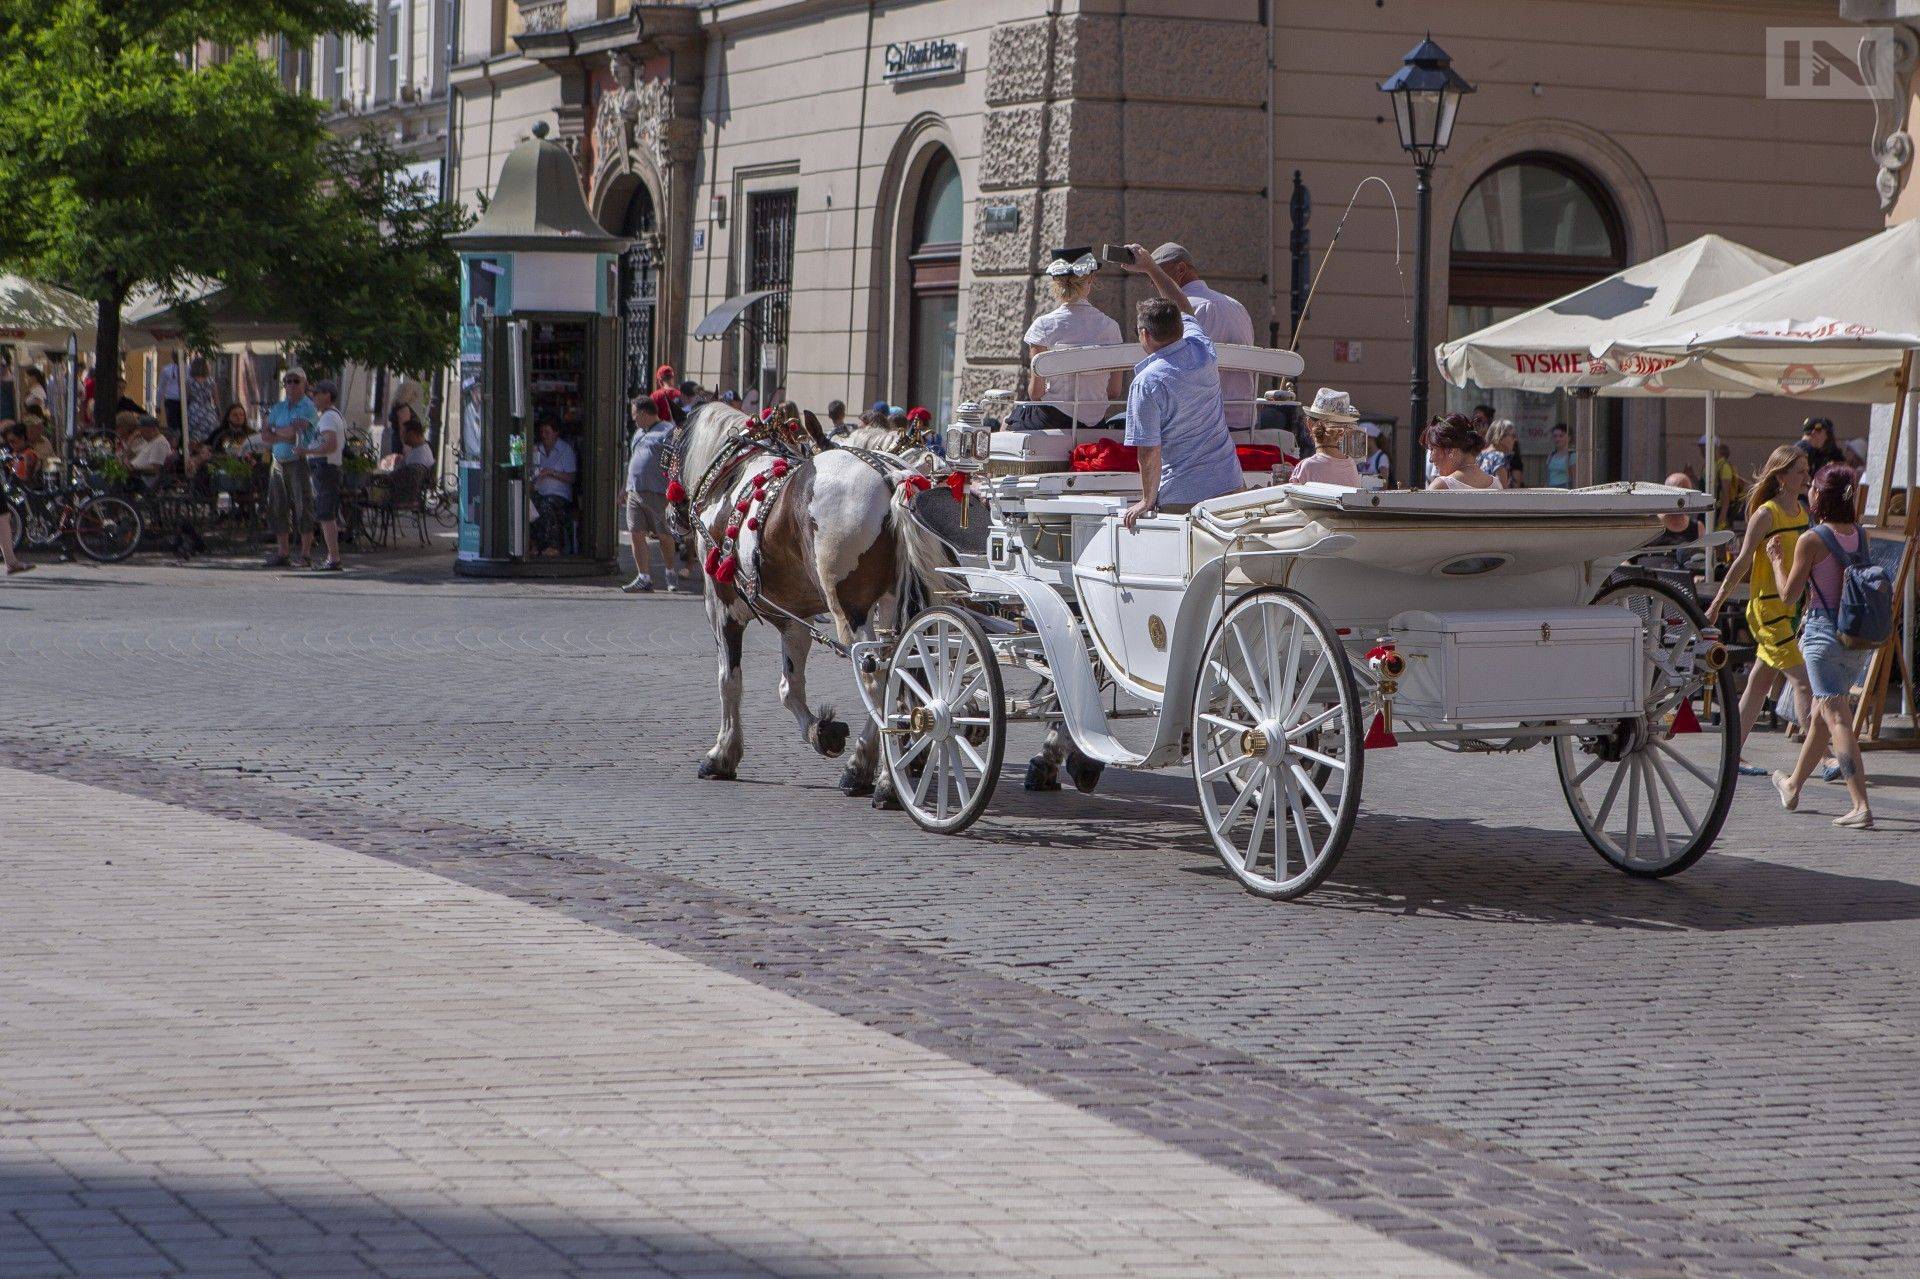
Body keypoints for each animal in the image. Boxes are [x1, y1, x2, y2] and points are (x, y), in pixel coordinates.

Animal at [668, 403, 952, 791]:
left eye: (668, 450)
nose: (673, 518)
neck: (733, 478)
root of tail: (891, 476)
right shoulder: (794, 617)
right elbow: (790, 687)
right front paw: (822, 731)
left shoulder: (721, 605)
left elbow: (729, 679)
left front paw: (722, 754)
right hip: (894, 606)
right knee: (904, 671)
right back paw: (881, 766)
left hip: (850, 609)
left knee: (877, 679)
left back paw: (879, 777)